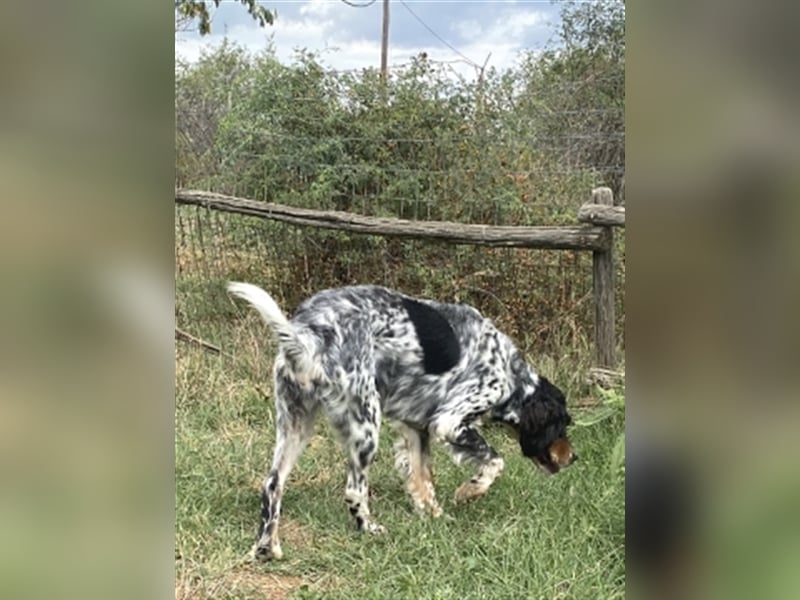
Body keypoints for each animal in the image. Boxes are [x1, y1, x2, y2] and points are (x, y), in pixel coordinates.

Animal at [227, 284, 576, 560]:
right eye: (563, 425)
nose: (574, 457)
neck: (509, 372)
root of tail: (308, 335)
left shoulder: (416, 427)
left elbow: (423, 480)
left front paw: (435, 517)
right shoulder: (449, 421)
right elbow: (494, 463)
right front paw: (470, 490)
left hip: (296, 424)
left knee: (272, 485)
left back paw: (267, 547)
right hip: (367, 425)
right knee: (354, 490)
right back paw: (369, 528)